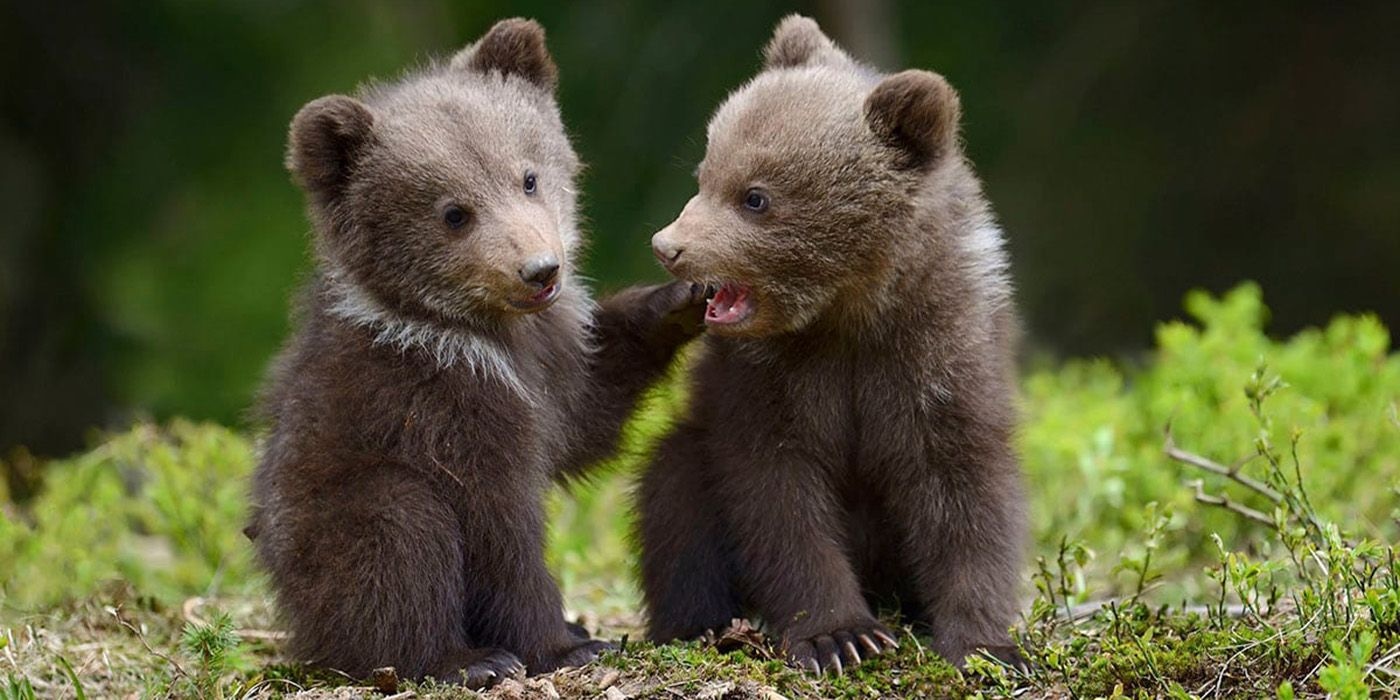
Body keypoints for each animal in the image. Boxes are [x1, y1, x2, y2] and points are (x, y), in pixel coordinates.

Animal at [247, 18, 705, 688]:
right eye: (454, 213)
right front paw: (562, 645)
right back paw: (465, 658)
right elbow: (498, 527)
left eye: (528, 177)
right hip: (326, 525)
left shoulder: (552, 362)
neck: (484, 333)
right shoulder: (443, 401)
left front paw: (679, 299)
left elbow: (587, 416)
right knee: (399, 534)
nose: (540, 270)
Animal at [637, 15, 1027, 674]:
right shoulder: (769, 379)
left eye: (756, 195)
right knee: (673, 494)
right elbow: (779, 496)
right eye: (705, 173)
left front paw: (986, 643)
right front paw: (840, 635)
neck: (847, 313)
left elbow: (964, 491)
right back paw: (702, 625)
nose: (669, 246)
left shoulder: (938, 354)